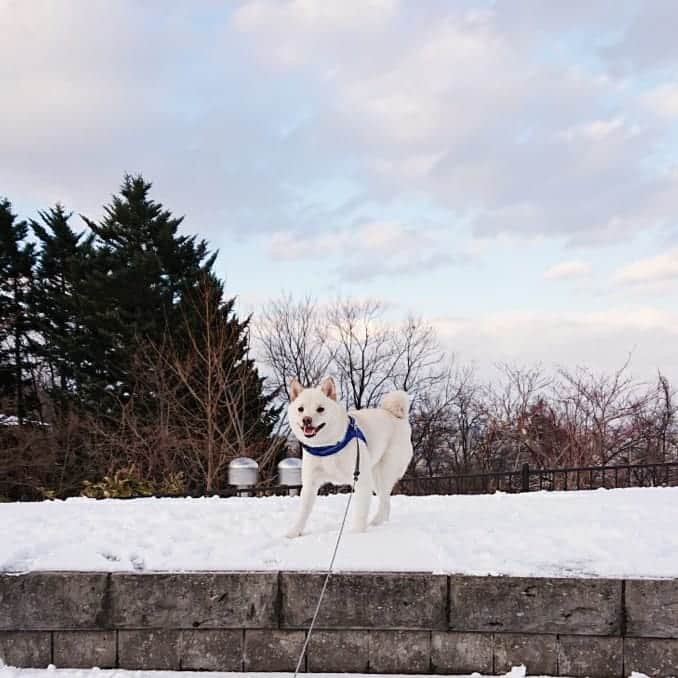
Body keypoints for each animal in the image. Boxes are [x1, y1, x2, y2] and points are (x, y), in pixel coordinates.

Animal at [286, 380, 414, 540]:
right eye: (300, 409)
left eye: (320, 409)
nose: (306, 420)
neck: (327, 447)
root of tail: (397, 416)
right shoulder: (310, 484)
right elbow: (302, 513)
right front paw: (294, 533)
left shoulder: (361, 480)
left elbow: (360, 513)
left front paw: (356, 536)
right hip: (374, 478)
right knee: (386, 503)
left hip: (383, 474)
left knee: (384, 501)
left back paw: (376, 523)